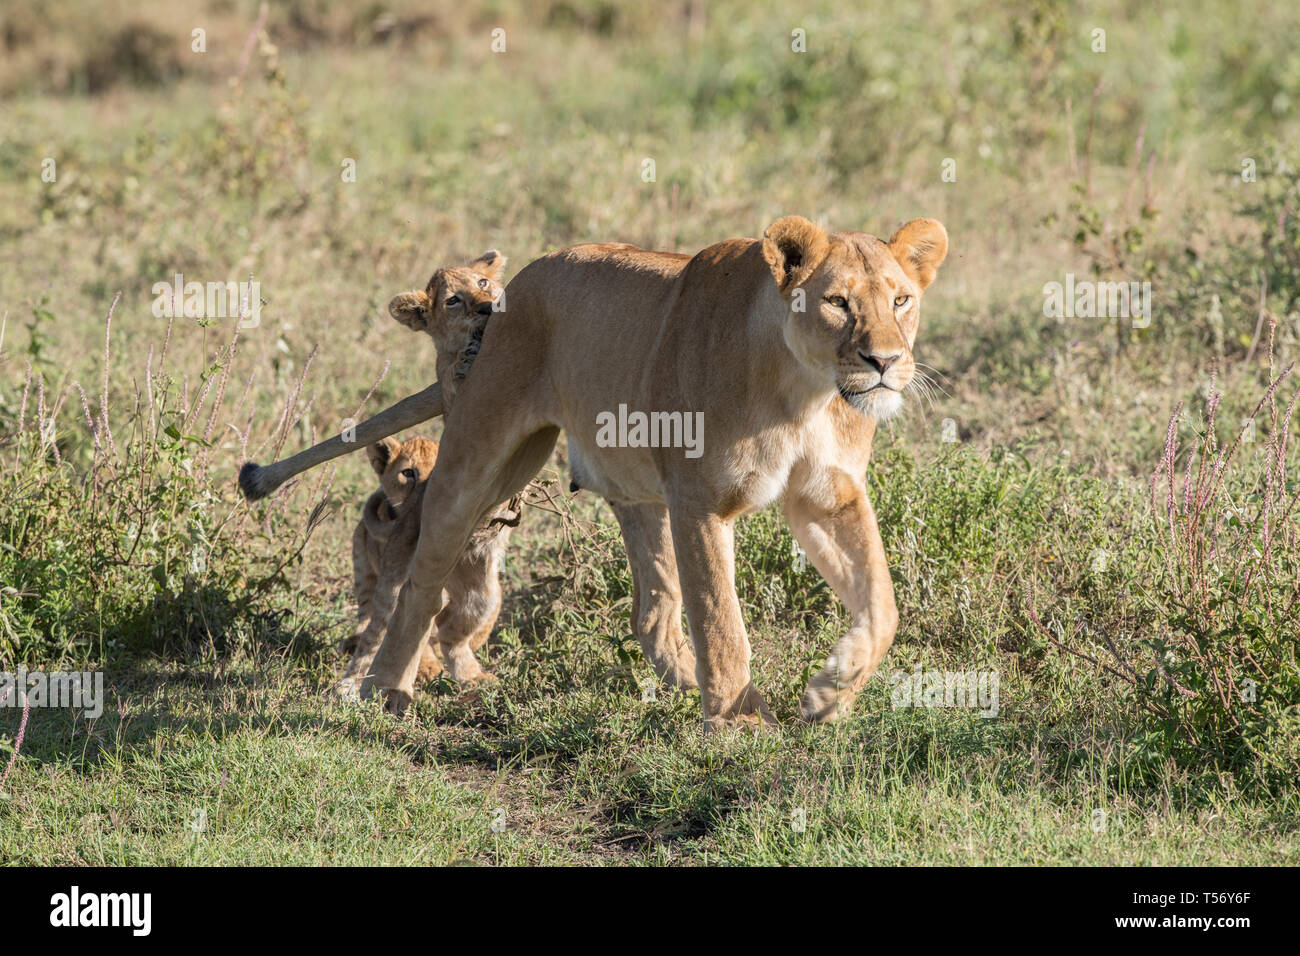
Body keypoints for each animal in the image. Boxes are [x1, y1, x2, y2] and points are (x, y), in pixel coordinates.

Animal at [244, 214, 946, 723]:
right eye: (837, 302)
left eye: (902, 300)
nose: (886, 362)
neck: (807, 390)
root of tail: (509, 292)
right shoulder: (700, 501)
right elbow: (722, 621)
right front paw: (738, 724)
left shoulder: (829, 495)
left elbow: (882, 605)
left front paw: (828, 695)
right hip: (482, 462)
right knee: (422, 577)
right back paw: (387, 688)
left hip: (627, 493)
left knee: (652, 612)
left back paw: (680, 682)